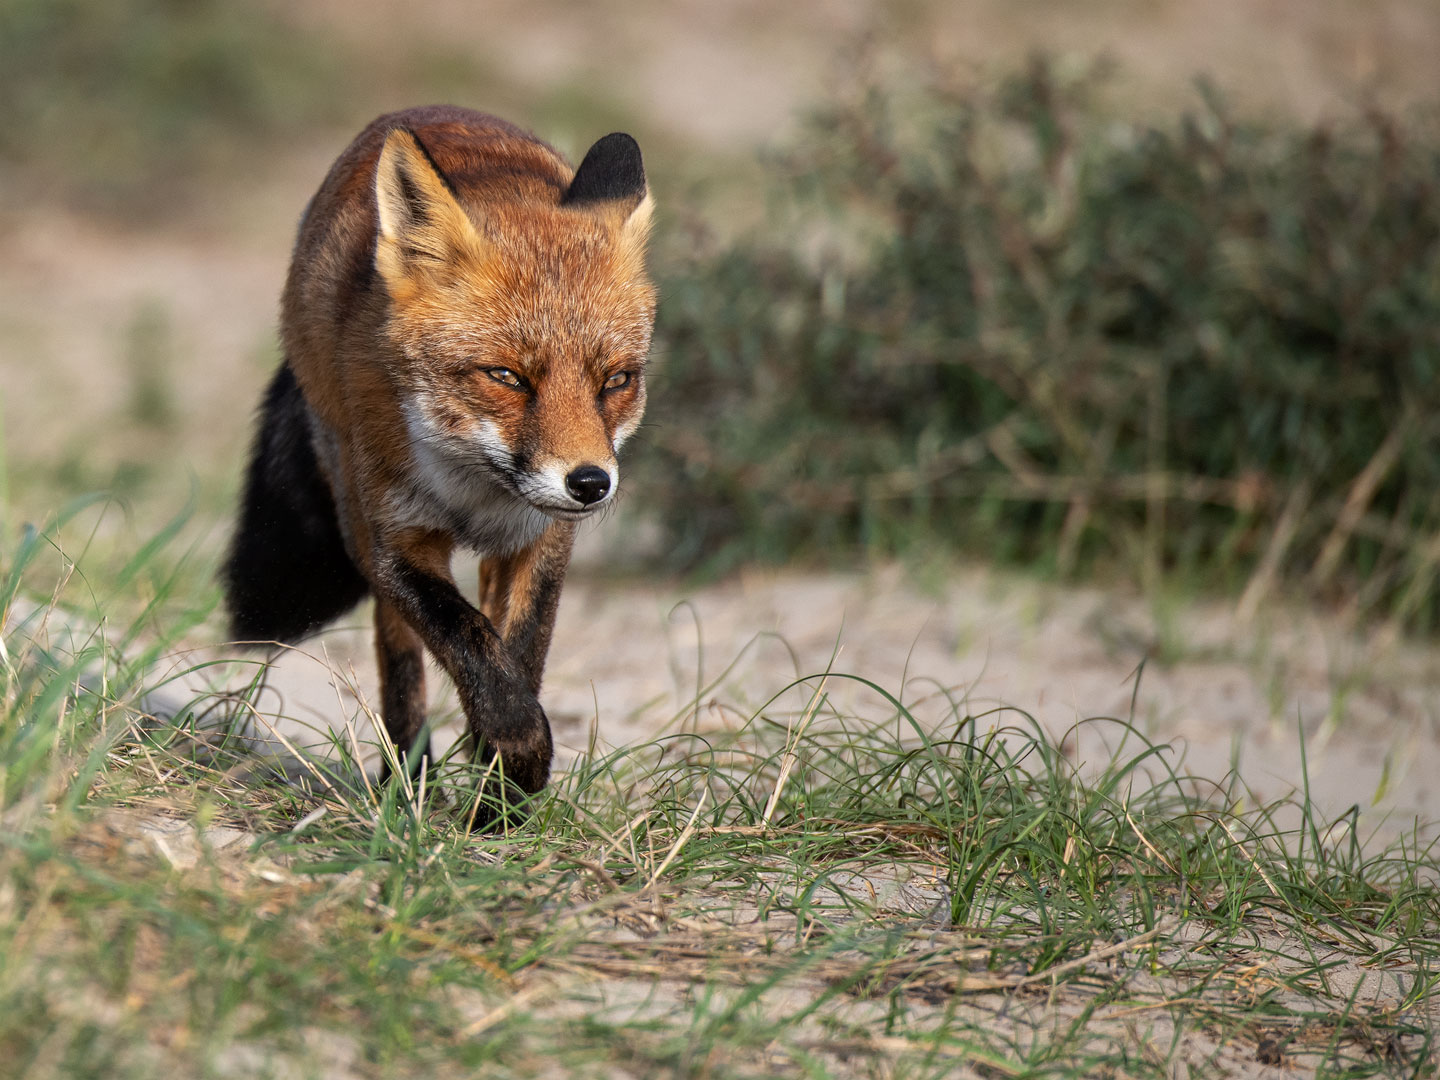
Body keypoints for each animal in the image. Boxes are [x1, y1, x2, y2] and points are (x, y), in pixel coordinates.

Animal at [221, 110, 656, 800]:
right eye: (507, 377)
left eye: (616, 380)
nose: (590, 483)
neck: (474, 489)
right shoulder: (392, 542)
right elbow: (469, 643)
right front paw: (515, 754)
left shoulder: (539, 540)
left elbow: (518, 656)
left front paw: (500, 798)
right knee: (402, 667)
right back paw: (410, 784)